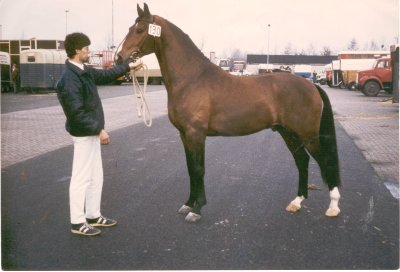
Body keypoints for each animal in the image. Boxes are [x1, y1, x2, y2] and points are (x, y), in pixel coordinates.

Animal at [117, 3, 342, 222]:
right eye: (129, 28)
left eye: (139, 29)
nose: (120, 58)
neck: (192, 79)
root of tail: (311, 85)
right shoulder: (184, 135)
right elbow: (190, 169)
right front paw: (188, 204)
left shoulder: (195, 134)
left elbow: (198, 169)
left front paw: (197, 209)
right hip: (288, 133)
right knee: (302, 161)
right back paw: (296, 202)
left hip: (307, 135)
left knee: (325, 162)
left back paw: (333, 207)